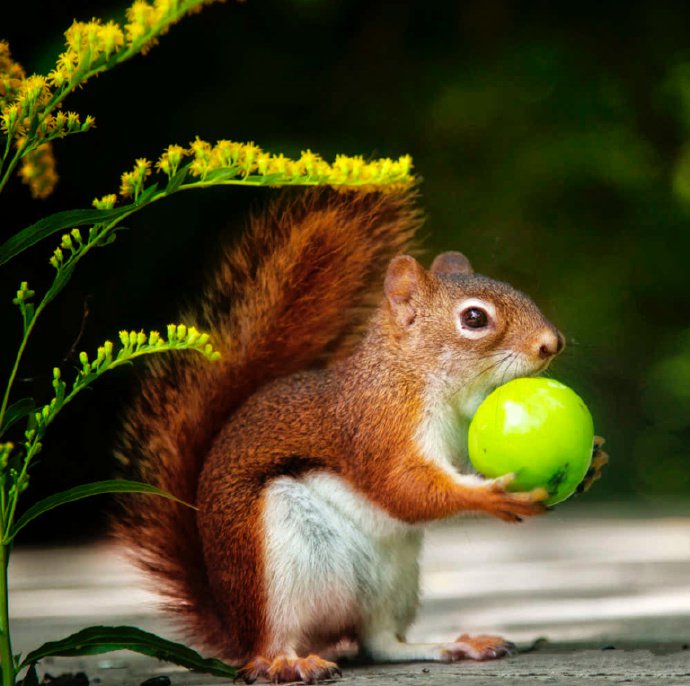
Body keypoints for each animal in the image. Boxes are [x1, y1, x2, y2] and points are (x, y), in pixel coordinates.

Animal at [115, 187, 600, 684]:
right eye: (474, 318)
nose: (551, 343)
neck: (415, 375)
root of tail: (234, 626)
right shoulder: (377, 424)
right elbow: (401, 486)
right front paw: (490, 496)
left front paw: (591, 465)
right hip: (275, 568)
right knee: (272, 644)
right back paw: (289, 662)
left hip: (393, 581)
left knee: (381, 643)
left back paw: (455, 645)